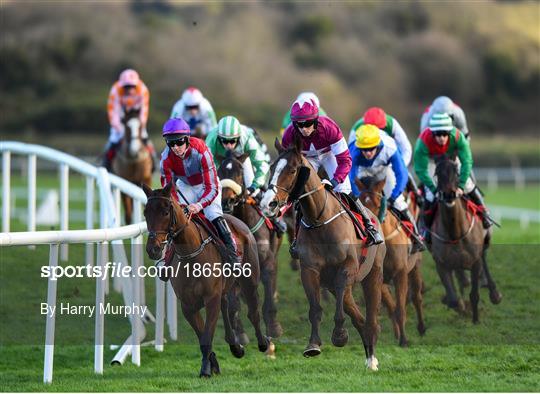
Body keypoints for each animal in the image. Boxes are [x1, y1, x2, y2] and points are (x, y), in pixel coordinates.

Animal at [142, 183, 274, 378]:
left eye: (165, 212)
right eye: (145, 213)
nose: (153, 249)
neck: (191, 255)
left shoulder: (210, 298)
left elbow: (207, 333)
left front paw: (205, 369)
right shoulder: (188, 305)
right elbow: (203, 336)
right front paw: (212, 364)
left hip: (249, 281)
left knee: (253, 312)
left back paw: (263, 343)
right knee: (226, 304)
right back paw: (235, 347)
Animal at [217, 152, 284, 338]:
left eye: (240, 171)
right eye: (219, 171)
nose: (227, 201)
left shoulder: (268, 262)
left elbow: (269, 292)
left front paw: (273, 327)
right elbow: (233, 303)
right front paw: (239, 331)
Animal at [260, 135, 384, 370]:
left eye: (292, 170)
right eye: (271, 167)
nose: (268, 204)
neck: (320, 220)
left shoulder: (346, 268)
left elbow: (339, 308)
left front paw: (340, 335)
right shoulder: (310, 271)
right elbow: (315, 309)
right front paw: (313, 345)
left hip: (372, 276)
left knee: (371, 318)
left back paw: (372, 359)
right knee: (359, 318)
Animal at [356, 177, 428, 346]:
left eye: (377, 204)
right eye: (361, 203)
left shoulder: (400, 274)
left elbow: (400, 308)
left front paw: (404, 340)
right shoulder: (379, 277)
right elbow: (391, 307)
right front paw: (397, 334)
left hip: (415, 266)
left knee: (417, 297)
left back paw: (421, 327)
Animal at [430, 155, 502, 324]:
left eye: (456, 173)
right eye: (437, 173)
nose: (449, 194)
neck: (455, 233)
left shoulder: (475, 261)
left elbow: (474, 294)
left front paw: (475, 320)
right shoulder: (441, 264)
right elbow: (453, 299)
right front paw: (458, 305)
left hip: (485, 240)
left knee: (484, 259)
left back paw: (493, 292)